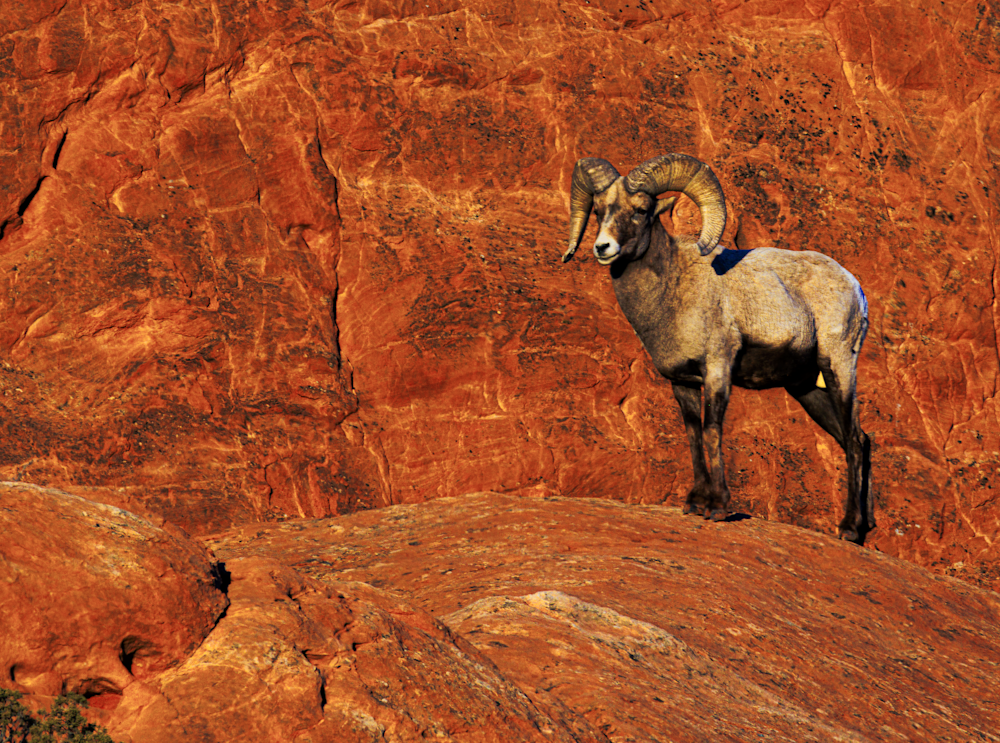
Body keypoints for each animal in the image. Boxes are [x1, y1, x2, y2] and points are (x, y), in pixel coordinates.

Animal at [562, 153, 873, 543]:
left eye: (641, 210)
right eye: (600, 210)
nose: (603, 248)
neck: (673, 290)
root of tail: (855, 287)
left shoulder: (717, 370)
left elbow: (712, 430)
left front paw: (719, 508)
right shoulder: (681, 382)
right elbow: (694, 434)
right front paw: (695, 502)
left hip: (838, 367)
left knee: (854, 439)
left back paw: (849, 529)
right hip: (805, 388)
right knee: (855, 438)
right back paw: (864, 528)